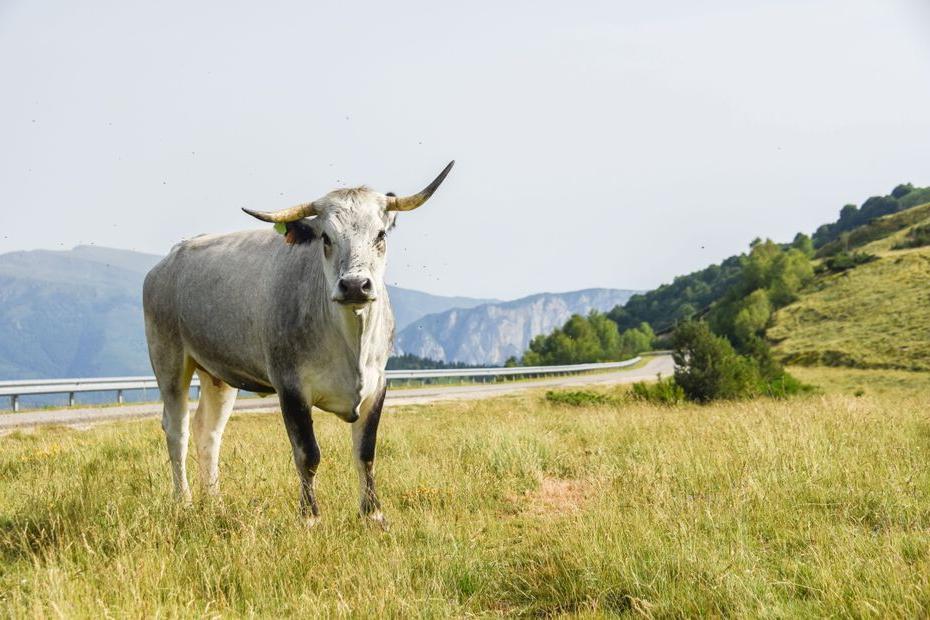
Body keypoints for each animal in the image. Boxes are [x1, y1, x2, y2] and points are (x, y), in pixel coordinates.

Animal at [143, 161, 454, 529]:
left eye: (380, 235)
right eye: (326, 238)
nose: (354, 285)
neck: (350, 343)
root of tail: (169, 260)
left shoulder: (377, 385)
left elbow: (365, 452)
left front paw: (374, 515)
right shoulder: (290, 387)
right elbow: (308, 454)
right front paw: (310, 517)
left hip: (217, 374)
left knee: (208, 431)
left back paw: (215, 503)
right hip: (169, 359)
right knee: (177, 430)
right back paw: (186, 502)